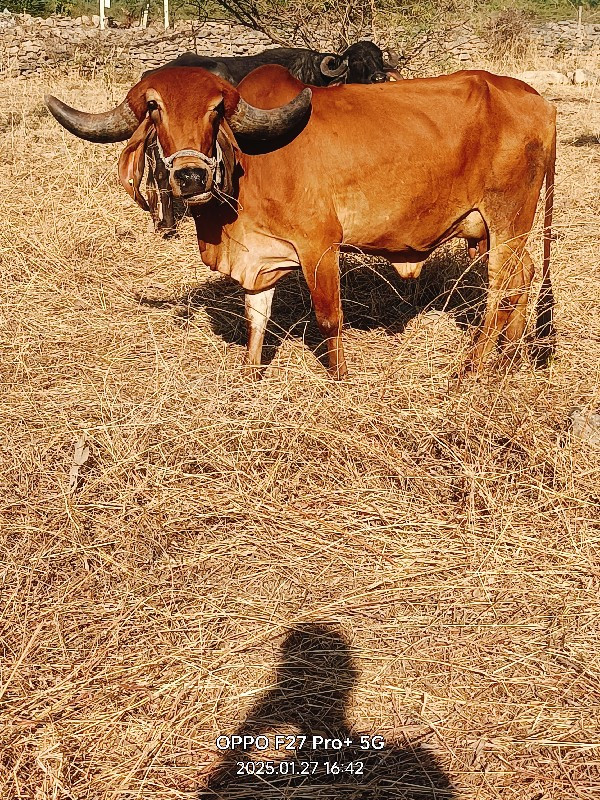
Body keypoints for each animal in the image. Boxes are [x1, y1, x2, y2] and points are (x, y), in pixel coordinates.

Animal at [44, 65, 556, 378]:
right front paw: (250, 373)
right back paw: (510, 358)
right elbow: (256, 317)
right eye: (155, 107)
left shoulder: (319, 247)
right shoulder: (259, 258)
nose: (191, 176)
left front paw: (340, 376)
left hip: (507, 221)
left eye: (216, 109)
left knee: (503, 286)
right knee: (525, 277)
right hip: (500, 230)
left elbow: (329, 318)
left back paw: (473, 367)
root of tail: (538, 101)